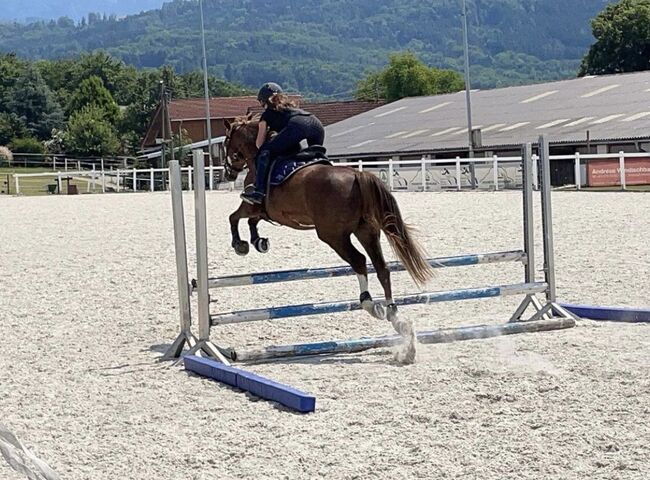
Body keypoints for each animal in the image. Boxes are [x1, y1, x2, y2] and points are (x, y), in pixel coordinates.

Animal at [221, 115, 430, 338]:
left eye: (225, 143)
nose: (228, 174)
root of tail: (358, 175)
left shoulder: (251, 204)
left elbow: (234, 217)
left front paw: (240, 245)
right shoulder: (265, 212)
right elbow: (251, 221)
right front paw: (258, 242)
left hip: (333, 235)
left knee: (359, 260)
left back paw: (368, 303)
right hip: (367, 231)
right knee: (382, 267)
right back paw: (393, 313)